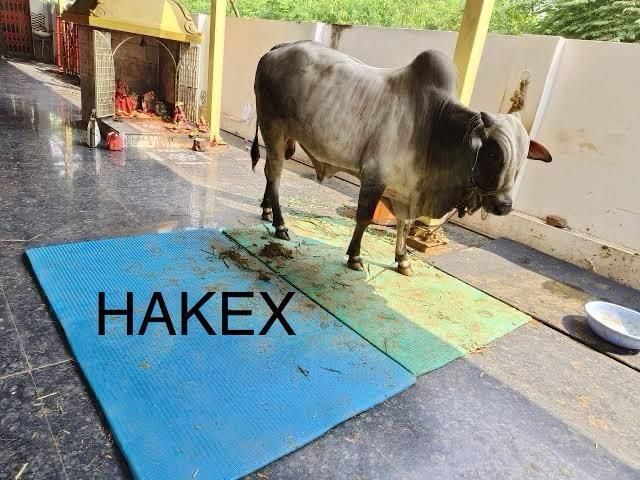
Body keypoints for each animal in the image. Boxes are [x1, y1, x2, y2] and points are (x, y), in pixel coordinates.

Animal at [251, 41, 552, 276]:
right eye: (491, 152)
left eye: (523, 158)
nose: (504, 205)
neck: (434, 127)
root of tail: (278, 49)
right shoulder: (374, 178)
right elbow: (364, 218)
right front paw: (355, 256)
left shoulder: (408, 190)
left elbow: (404, 225)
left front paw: (403, 260)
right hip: (272, 127)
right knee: (274, 174)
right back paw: (280, 224)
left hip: (287, 139)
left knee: (270, 172)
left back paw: (267, 211)